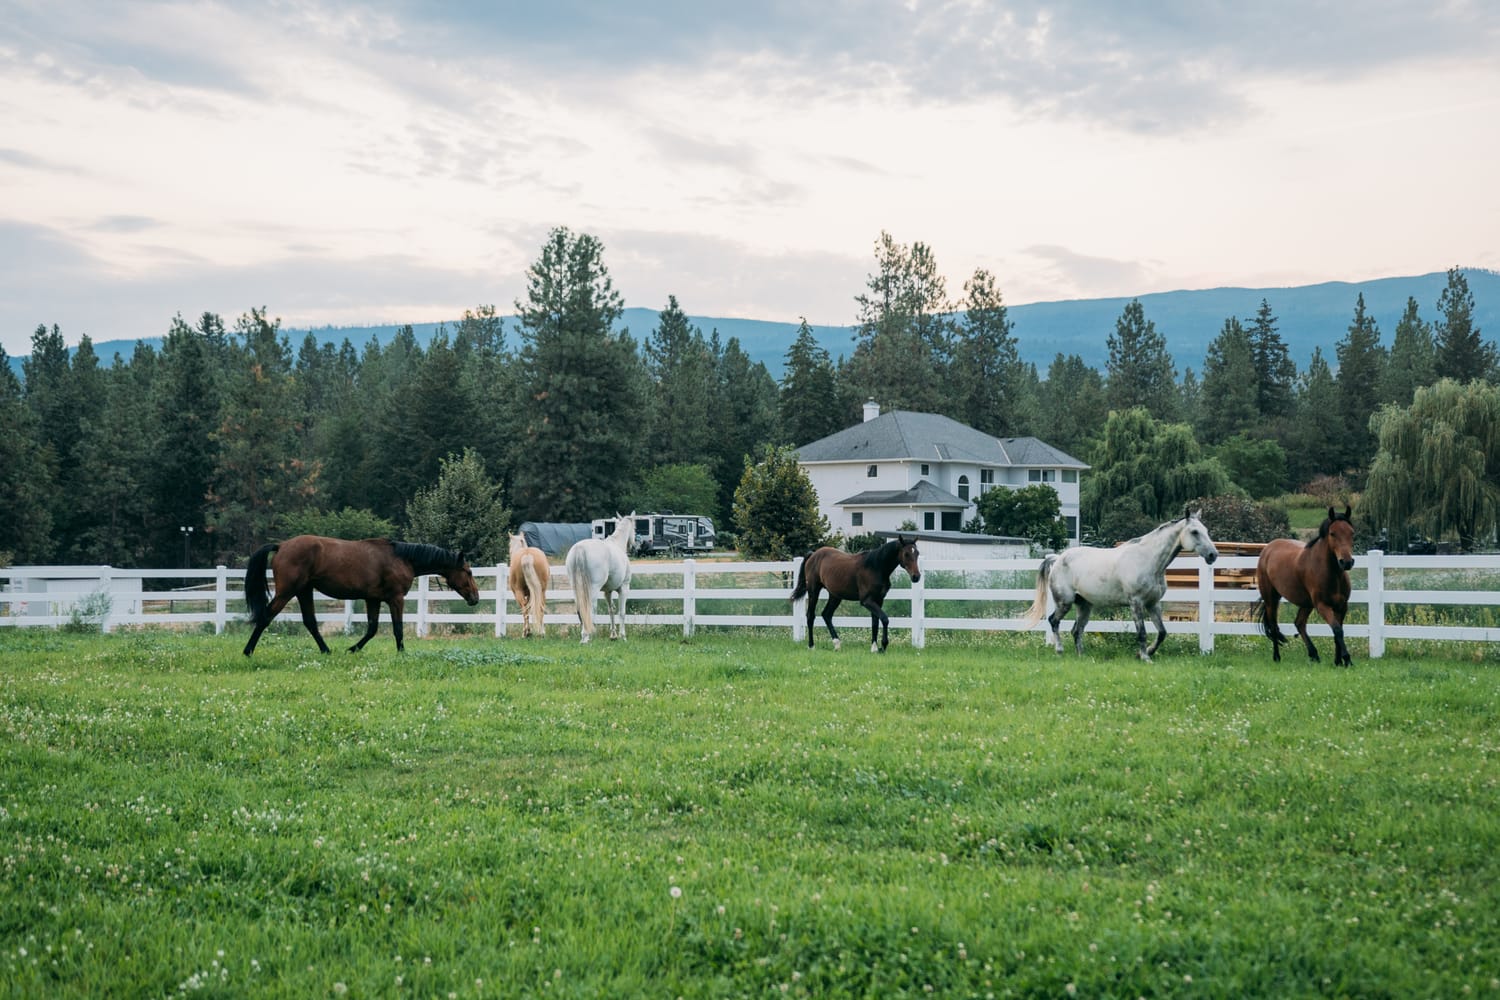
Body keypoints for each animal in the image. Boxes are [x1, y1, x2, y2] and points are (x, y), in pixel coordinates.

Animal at [242, 535, 480, 656]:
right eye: (468, 572)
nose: (475, 597)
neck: (402, 558)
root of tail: (281, 546)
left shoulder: (372, 599)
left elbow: (372, 629)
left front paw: (352, 649)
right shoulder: (395, 599)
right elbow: (398, 628)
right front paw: (401, 652)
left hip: (304, 591)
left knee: (310, 622)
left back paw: (326, 651)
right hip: (287, 592)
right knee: (265, 617)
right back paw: (248, 651)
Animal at [565, 512, 634, 643]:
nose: (633, 546)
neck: (617, 544)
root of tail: (580, 548)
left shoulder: (607, 591)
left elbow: (611, 610)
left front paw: (613, 635)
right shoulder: (624, 587)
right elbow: (622, 612)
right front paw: (623, 636)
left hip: (575, 588)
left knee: (580, 609)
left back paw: (584, 636)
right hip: (593, 589)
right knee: (591, 609)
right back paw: (588, 636)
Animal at [790, 535, 922, 653]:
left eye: (917, 553)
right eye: (906, 554)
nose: (916, 577)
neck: (876, 567)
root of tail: (813, 555)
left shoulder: (878, 600)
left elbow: (875, 622)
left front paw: (874, 648)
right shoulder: (867, 601)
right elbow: (884, 619)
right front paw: (883, 646)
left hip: (835, 596)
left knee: (826, 615)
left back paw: (837, 644)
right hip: (814, 591)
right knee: (810, 616)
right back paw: (811, 646)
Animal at [1019, 509, 1219, 662]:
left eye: (1206, 530)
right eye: (1194, 532)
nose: (1213, 555)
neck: (1147, 560)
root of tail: (1057, 559)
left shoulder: (1153, 604)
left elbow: (1162, 632)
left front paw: (1145, 653)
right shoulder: (1136, 602)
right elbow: (1142, 632)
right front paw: (1145, 658)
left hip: (1084, 605)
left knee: (1077, 630)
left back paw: (1082, 656)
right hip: (1064, 602)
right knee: (1054, 621)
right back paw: (1059, 650)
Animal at [1254, 505, 1356, 666]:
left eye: (1352, 533)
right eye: (1332, 533)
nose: (1346, 562)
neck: (1332, 574)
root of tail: (1268, 548)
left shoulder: (1342, 606)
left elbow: (1338, 632)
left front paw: (1338, 661)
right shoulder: (1322, 606)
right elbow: (1337, 630)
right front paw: (1347, 659)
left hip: (1306, 603)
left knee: (1299, 623)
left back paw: (1314, 655)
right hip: (1271, 599)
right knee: (1274, 626)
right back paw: (1277, 657)